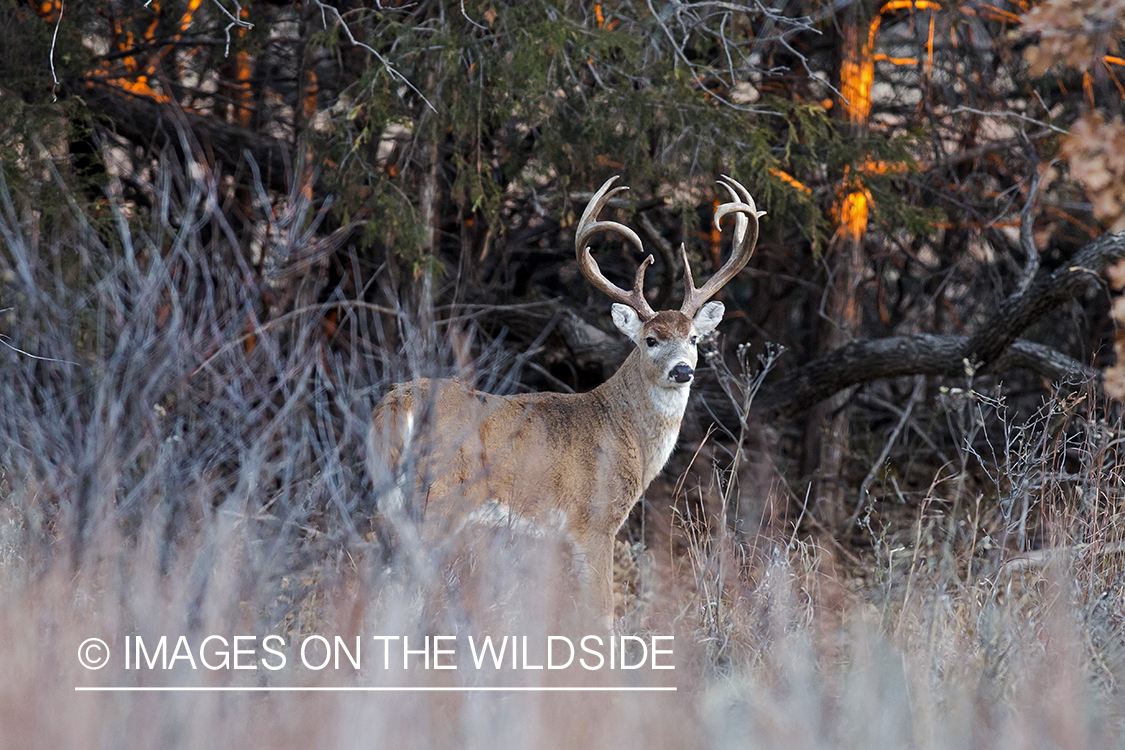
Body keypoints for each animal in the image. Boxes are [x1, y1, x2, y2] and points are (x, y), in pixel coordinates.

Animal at [369, 174, 765, 629]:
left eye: (695, 338)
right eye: (651, 339)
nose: (682, 370)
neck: (625, 431)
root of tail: (396, 405)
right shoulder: (595, 519)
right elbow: (602, 614)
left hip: (391, 499)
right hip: (440, 497)